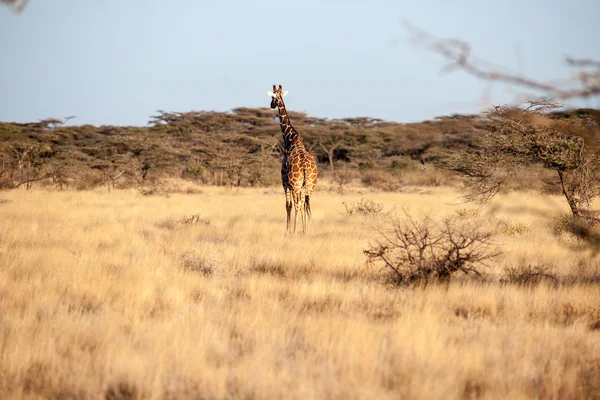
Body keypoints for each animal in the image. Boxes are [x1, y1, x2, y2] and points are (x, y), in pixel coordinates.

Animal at [268, 84, 318, 234]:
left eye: (273, 97)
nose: (271, 105)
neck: (291, 140)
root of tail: (306, 167)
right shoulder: (300, 186)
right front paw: (302, 229)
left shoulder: (284, 182)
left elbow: (288, 205)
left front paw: (288, 231)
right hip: (310, 186)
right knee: (305, 204)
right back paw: (305, 230)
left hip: (296, 185)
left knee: (298, 204)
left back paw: (295, 231)